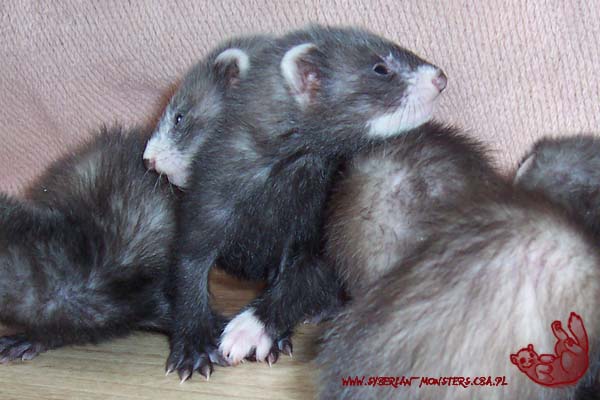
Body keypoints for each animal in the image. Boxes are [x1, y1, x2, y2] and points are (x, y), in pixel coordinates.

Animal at [167, 25, 447, 382]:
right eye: (380, 67)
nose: (440, 77)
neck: (274, 200)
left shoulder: (315, 228)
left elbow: (302, 280)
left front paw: (253, 329)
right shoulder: (209, 202)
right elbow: (189, 270)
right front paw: (193, 348)